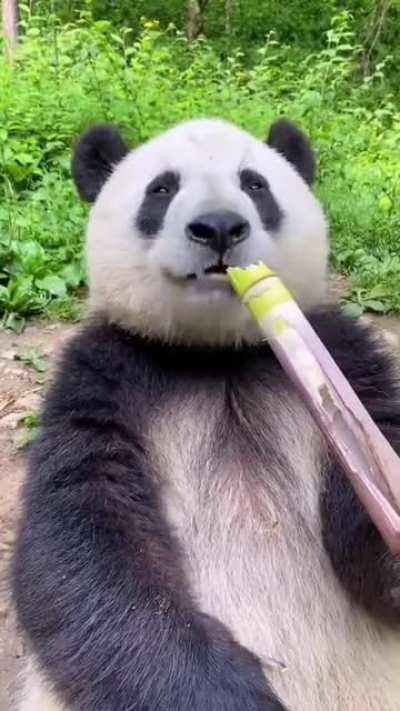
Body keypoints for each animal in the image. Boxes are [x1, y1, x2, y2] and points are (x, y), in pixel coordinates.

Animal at [12, 116, 400, 711]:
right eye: (161, 188)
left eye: (256, 185)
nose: (218, 227)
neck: (219, 356)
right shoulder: (104, 377)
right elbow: (83, 538)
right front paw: (227, 693)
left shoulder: (343, 354)